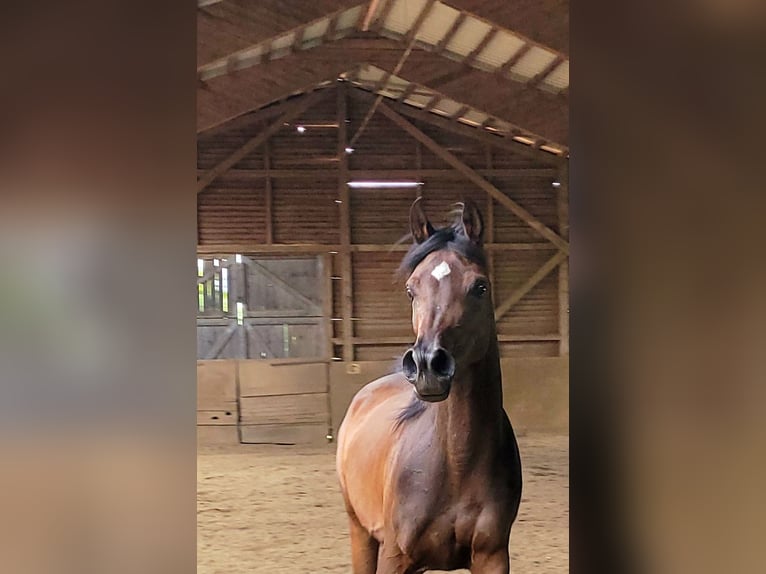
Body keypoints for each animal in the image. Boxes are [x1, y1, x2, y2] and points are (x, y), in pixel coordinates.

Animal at [336, 198, 522, 573]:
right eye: (411, 289)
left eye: (480, 287)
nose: (426, 365)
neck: (456, 465)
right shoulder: (395, 556)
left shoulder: (493, 557)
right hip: (360, 532)